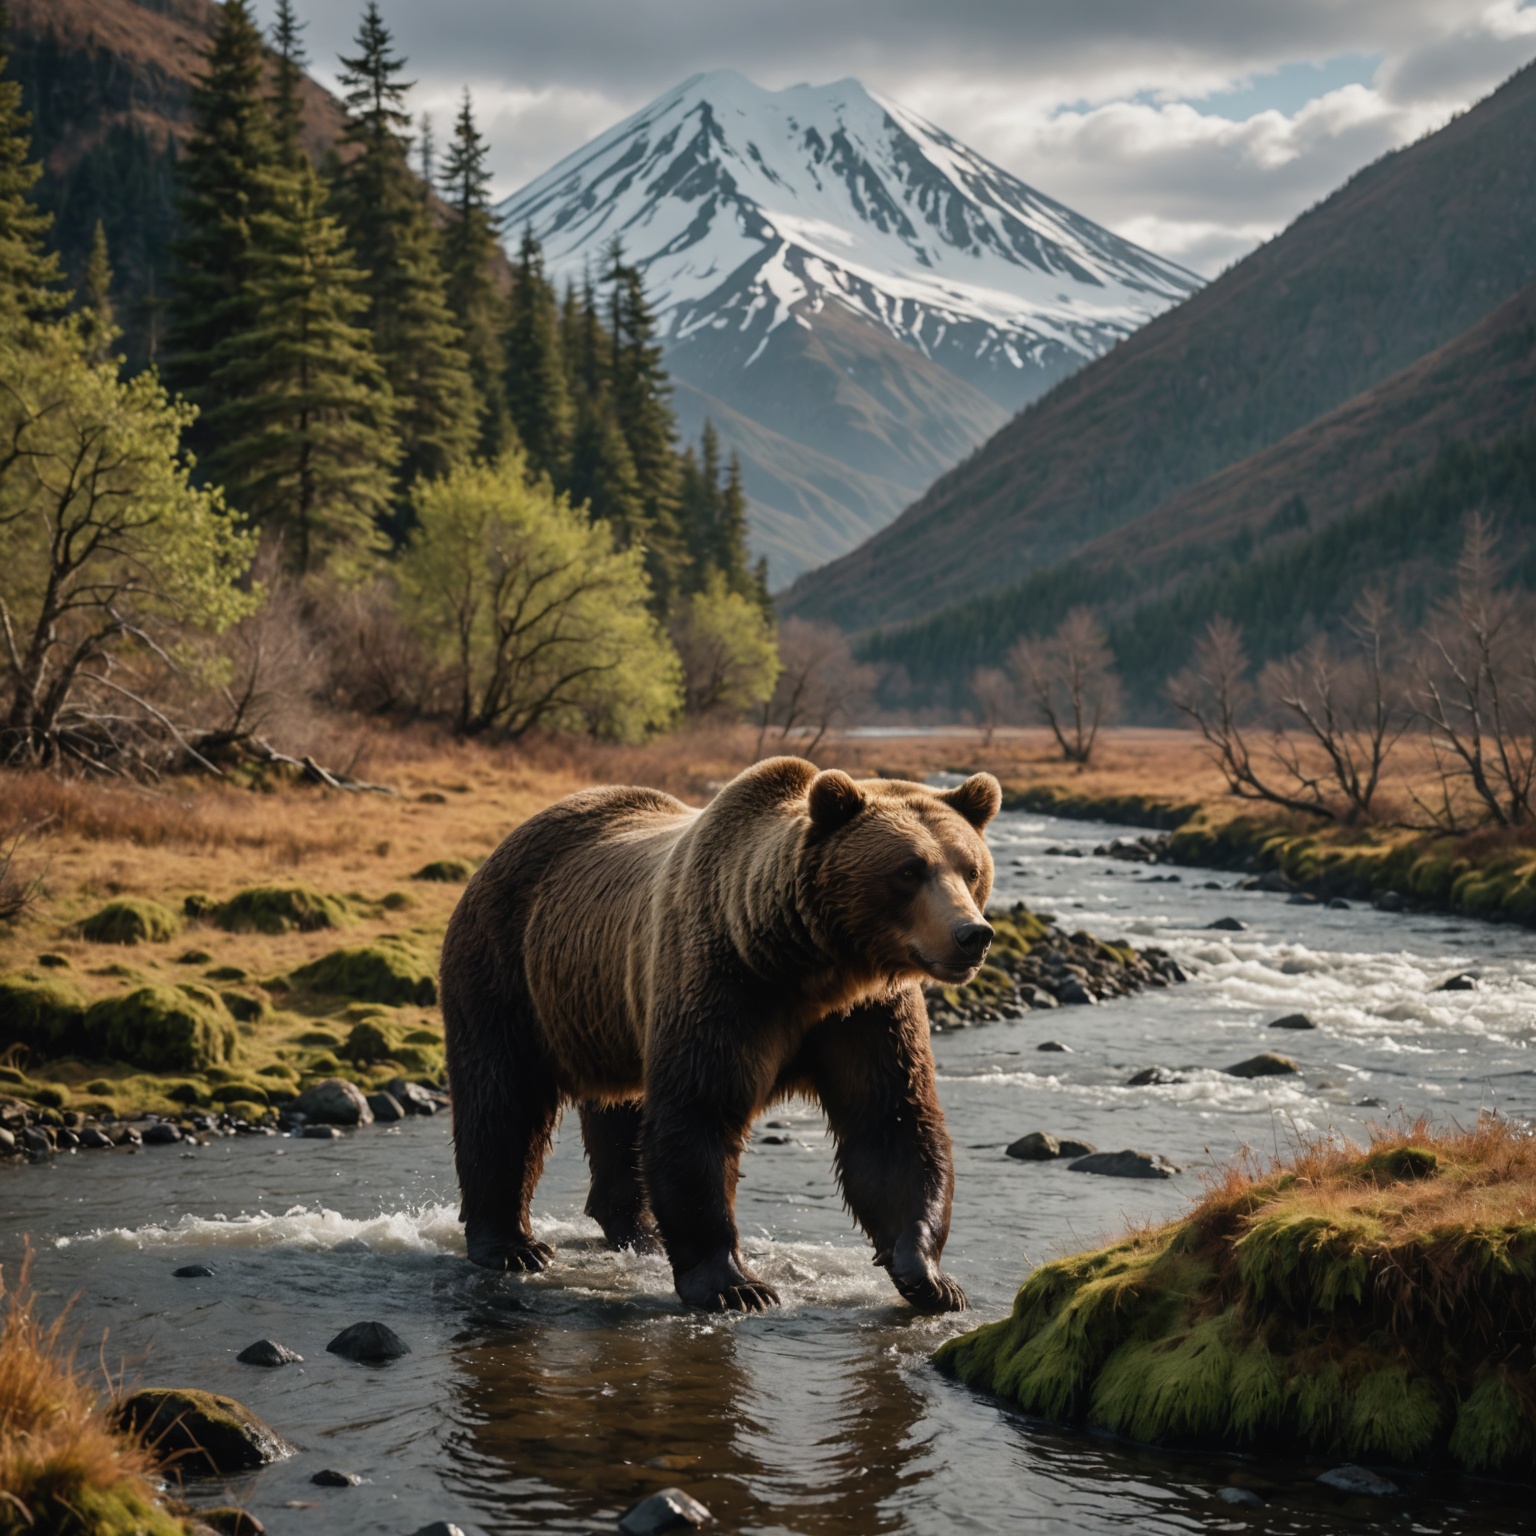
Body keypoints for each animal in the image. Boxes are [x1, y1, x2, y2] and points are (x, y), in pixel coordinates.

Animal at [439, 755, 1001, 1313]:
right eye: (909, 870)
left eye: (971, 869)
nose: (972, 935)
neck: (813, 966)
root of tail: (509, 841)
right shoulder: (725, 985)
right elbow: (698, 1114)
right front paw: (736, 1285)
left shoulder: (866, 1015)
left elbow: (890, 1122)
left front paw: (929, 1278)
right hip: (509, 969)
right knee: (503, 1098)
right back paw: (512, 1244)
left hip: (607, 1009)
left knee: (620, 1110)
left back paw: (637, 1231)